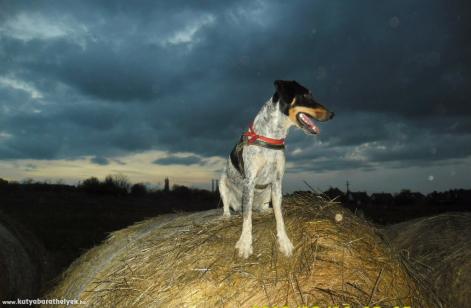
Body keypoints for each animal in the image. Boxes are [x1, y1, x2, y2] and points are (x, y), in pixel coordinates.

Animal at [220, 80, 336, 258]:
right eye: (306, 95)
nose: (332, 114)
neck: (273, 136)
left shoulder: (277, 181)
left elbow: (279, 216)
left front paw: (284, 241)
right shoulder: (249, 181)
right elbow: (247, 218)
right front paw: (245, 243)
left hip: (267, 191)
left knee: (262, 207)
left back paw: (265, 210)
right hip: (222, 182)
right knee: (230, 205)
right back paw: (227, 215)